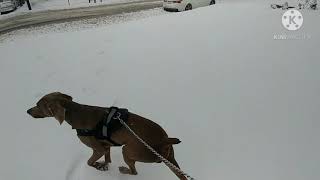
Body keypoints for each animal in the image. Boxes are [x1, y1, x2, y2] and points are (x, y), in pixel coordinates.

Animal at [28, 92, 188, 179]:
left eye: (38, 105)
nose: (27, 111)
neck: (75, 113)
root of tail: (165, 140)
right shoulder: (105, 145)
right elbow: (107, 157)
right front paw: (104, 165)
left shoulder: (97, 149)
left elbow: (89, 162)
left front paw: (98, 166)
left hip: (128, 150)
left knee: (134, 172)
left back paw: (123, 170)